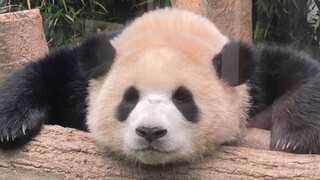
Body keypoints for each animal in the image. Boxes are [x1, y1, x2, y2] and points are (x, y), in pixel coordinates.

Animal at [0, 8, 320, 165]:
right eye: (129, 98)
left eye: (183, 99)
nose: (150, 132)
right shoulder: (79, 82)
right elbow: (47, 72)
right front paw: (12, 124)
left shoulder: (256, 79)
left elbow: (301, 72)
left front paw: (295, 137)